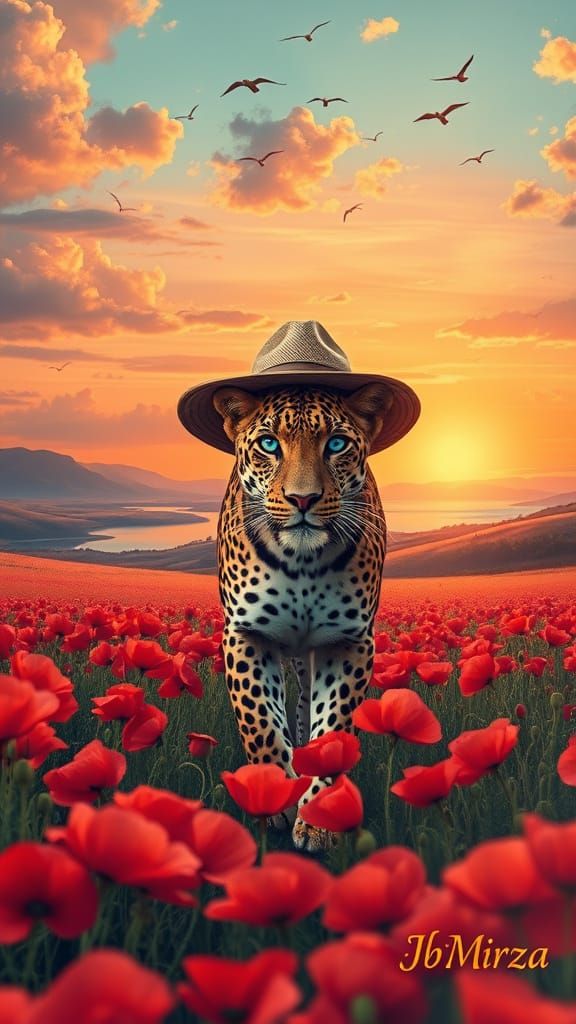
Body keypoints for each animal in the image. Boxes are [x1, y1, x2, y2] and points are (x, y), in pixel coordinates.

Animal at [213, 382, 389, 851]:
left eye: (337, 444)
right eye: (269, 444)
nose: (303, 499)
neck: (303, 562)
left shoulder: (348, 642)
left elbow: (332, 731)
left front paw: (317, 820)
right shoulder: (246, 633)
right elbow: (259, 720)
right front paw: (274, 796)